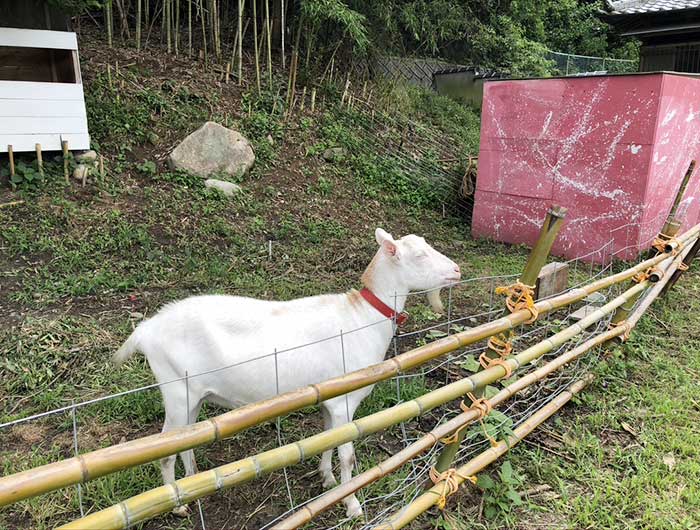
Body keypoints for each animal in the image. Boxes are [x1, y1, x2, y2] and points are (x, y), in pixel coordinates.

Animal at [116, 228, 460, 516]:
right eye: (420, 255)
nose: (457, 270)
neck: (361, 318)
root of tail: (146, 330)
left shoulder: (329, 400)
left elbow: (326, 440)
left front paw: (327, 480)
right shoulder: (345, 401)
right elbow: (347, 454)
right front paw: (352, 505)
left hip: (193, 395)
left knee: (186, 441)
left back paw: (193, 486)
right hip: (176, 390)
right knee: (165, 451)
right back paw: (178, 507)